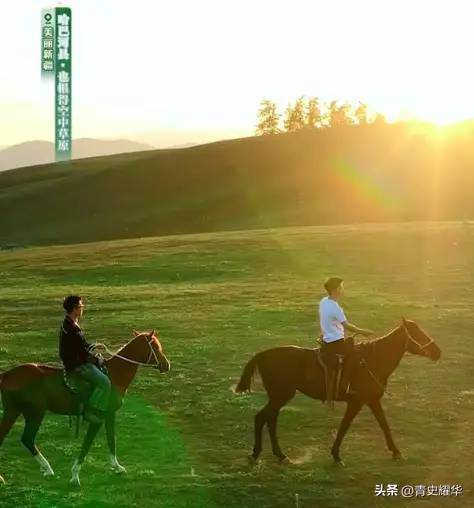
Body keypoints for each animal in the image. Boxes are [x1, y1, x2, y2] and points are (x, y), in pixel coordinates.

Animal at [0, 330, 170, 484]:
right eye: (155, 347)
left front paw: (116, 466)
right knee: (27, 439)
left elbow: (111, 439)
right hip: (34, 413)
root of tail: (8, 374)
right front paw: (75, 475)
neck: (114, 375)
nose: (167, 365)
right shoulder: (98, 418)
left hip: (15, 412)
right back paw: (47, 468)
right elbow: (87, 444)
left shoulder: (110, 414)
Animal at [235, 320, 442, 466]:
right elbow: (344, 427)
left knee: (270, 420)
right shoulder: (356, 402)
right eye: (418, 334)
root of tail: (262, 354)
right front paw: (336, 455)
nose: (437, 352)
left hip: (278, 397)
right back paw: (258, 454)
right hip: (280, 396)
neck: (373, 361)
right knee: (262, 418)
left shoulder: (372, 400)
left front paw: (396, 452)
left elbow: (384, 425)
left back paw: (278, 455)